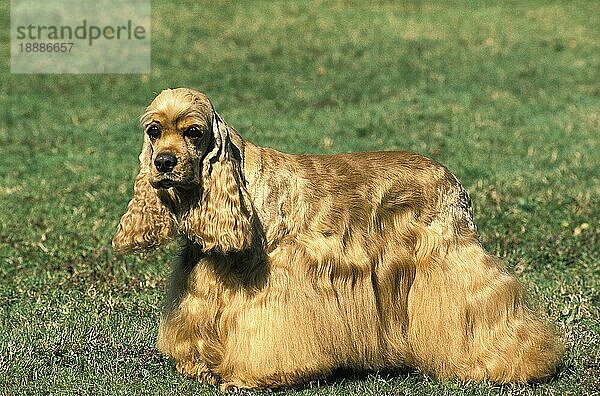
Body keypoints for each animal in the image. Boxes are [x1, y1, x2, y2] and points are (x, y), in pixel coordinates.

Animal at [111, 87, 564, 390]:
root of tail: (451, 178)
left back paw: (510, 365)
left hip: (453, 260)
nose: (163, 163)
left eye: (192, 132)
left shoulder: (273, 288)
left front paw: (250, 377)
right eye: (154, 130)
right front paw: (202, 367)